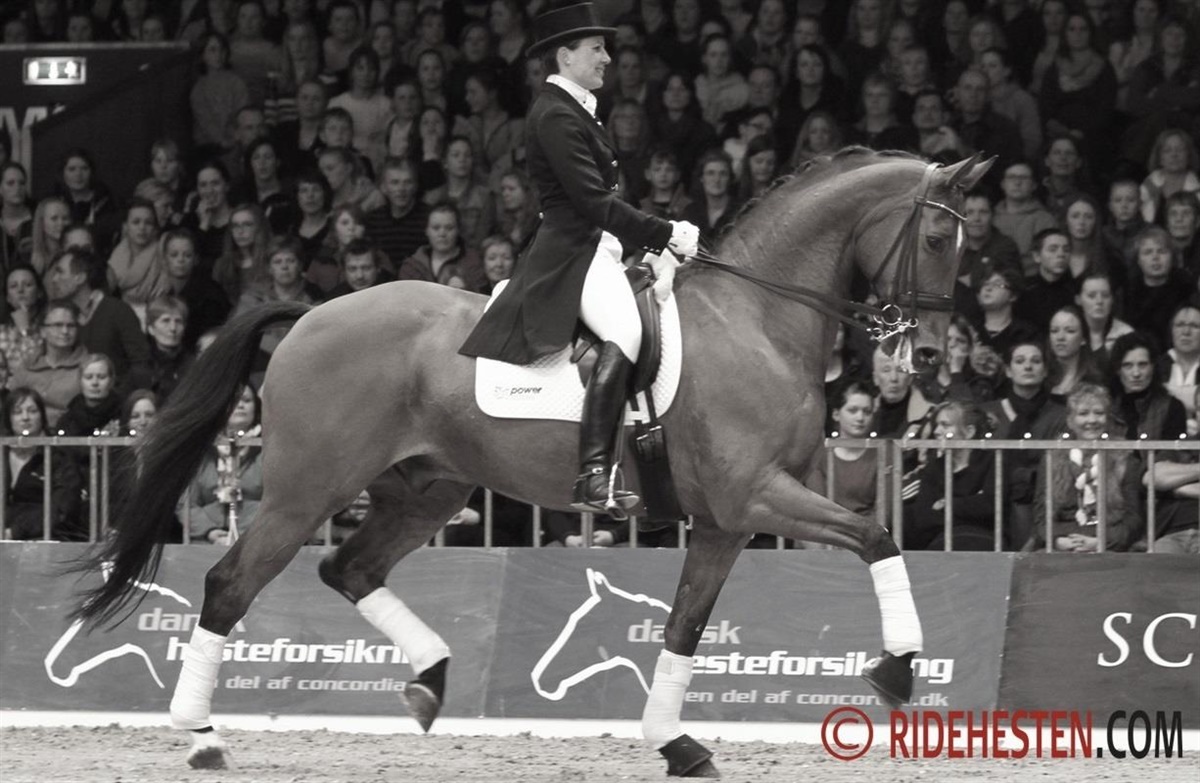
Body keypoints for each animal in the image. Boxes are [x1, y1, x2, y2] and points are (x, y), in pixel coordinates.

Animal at [71, 148, 991, 777]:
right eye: (937, 236)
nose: (932, 360)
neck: (757, 317)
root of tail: (309, 314)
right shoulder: (755, 495)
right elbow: (875, 537)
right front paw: (898, 668)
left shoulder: (726, 520)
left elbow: (684, 626)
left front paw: (677, 742)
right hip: (308, 488)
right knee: (232, 582)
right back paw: (202, 735)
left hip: (426, 490)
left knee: (349, 567)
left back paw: (431, 680)